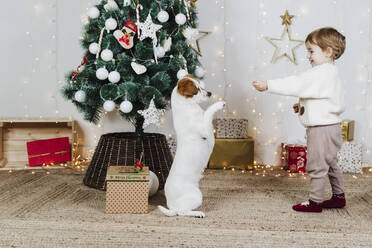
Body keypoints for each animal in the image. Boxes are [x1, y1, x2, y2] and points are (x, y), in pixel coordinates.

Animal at [157, 75, 224, 217]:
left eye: (201, 86)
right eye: (196, 90)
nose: (210, 93)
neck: (187, 108)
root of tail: (171, 206)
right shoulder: (205, 131)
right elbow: (208, 112)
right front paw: (219, 104)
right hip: (196, 196)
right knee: (181, 212)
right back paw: (197, 213)